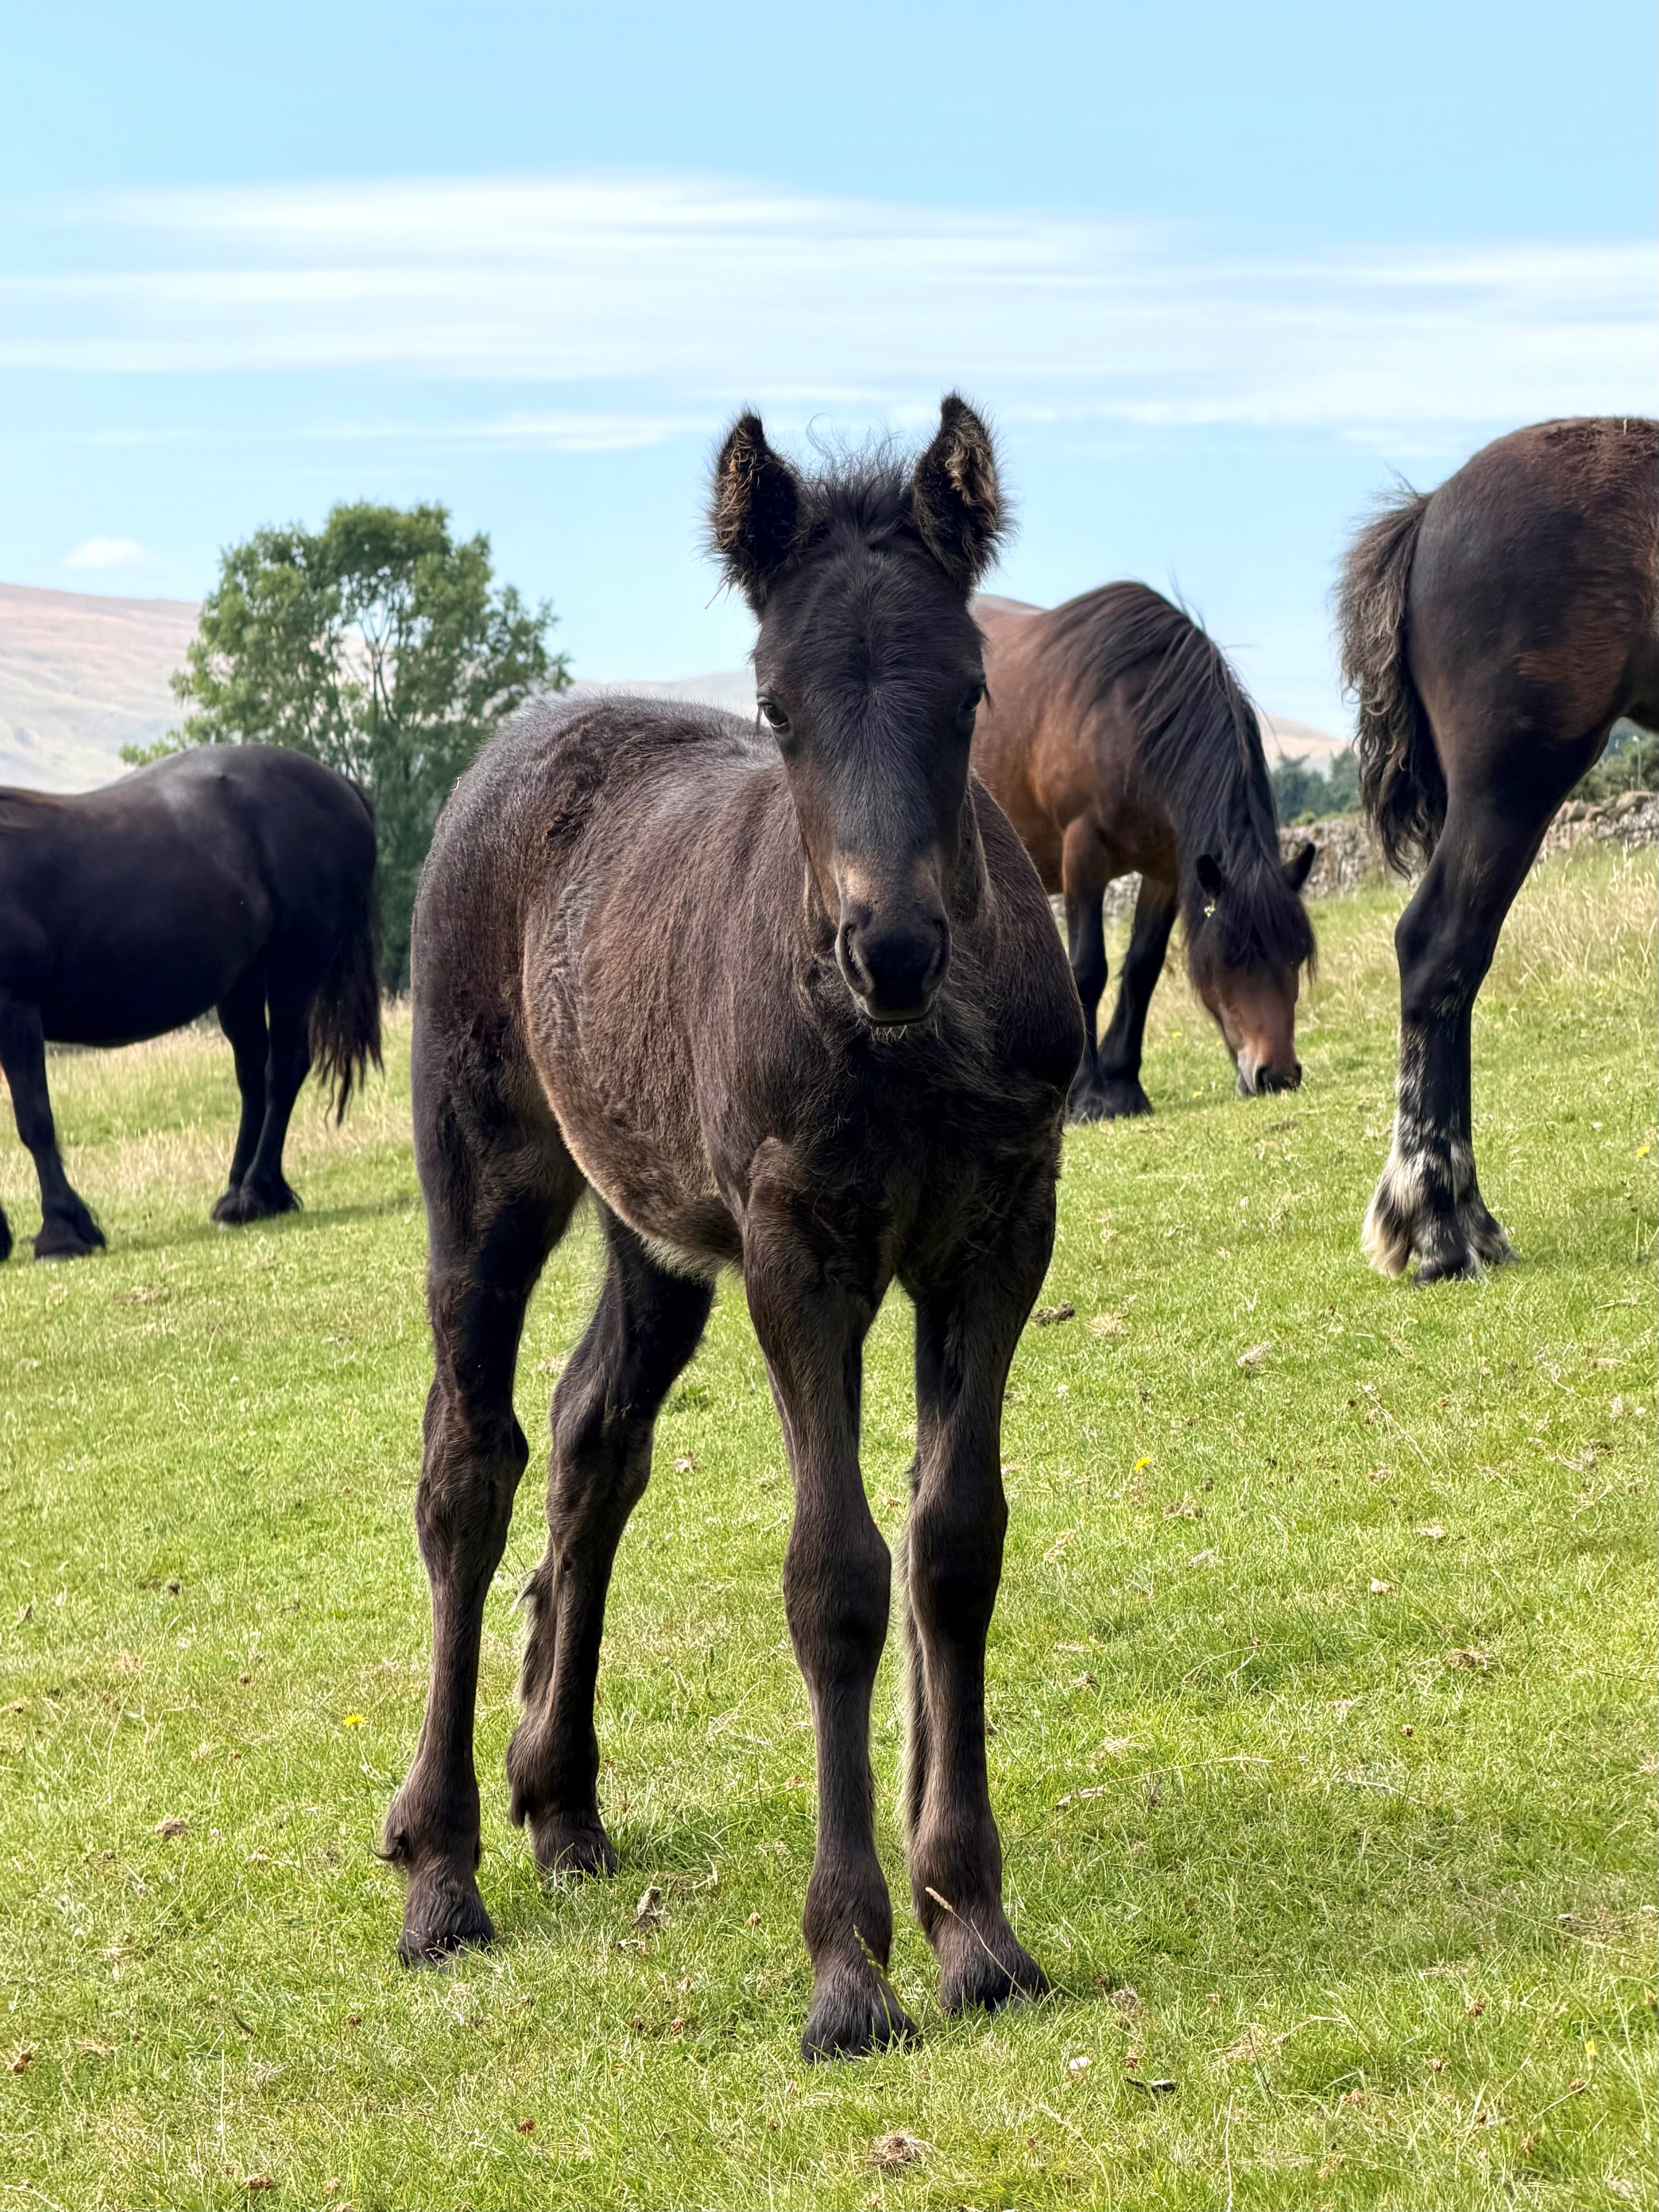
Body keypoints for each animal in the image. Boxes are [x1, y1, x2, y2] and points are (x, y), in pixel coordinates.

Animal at [0, 744, 381, 1260]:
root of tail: (339, 784)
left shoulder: (16, 1009)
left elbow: (35, 1119)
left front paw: (63, 1230)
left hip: (294, 968)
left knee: (283, 1070)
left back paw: (255, 1192)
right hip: (243, 982)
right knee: (252, 1076)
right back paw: (241, 1191)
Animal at [384, 397, 1084, 2063]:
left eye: (969, 689)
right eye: (773, 704)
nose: (887, 947)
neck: (902, 1045)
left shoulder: (994, 1234)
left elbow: (951, 1546)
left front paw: (974, 1927)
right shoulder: (796, 1249)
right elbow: (833, 1574)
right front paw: (848, 1969)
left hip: (653, 1234)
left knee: (593, 1438)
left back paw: (558, 1797)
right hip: (486, 1189)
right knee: (468, 1467)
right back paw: (440, 1868)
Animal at [971, 585, 1316, 1119]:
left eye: (1297, 955)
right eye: (1230, 957)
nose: (1276, 1074)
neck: (1128, 720)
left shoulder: (1167, 872)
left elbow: (1141, 969)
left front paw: (1123, 1084)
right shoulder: (1082, 855)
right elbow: (1088, 969)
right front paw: (1086, 1095)